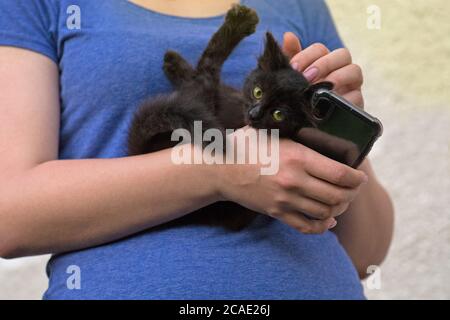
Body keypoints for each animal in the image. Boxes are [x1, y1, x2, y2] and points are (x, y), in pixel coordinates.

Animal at [128, 4, 332, 230]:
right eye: (258, 92)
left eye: (279, 114)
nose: (254, 114)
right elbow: (200, 75)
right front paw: (174, 64)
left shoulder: (200, 101)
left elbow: (206, 65)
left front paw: (239, 21)